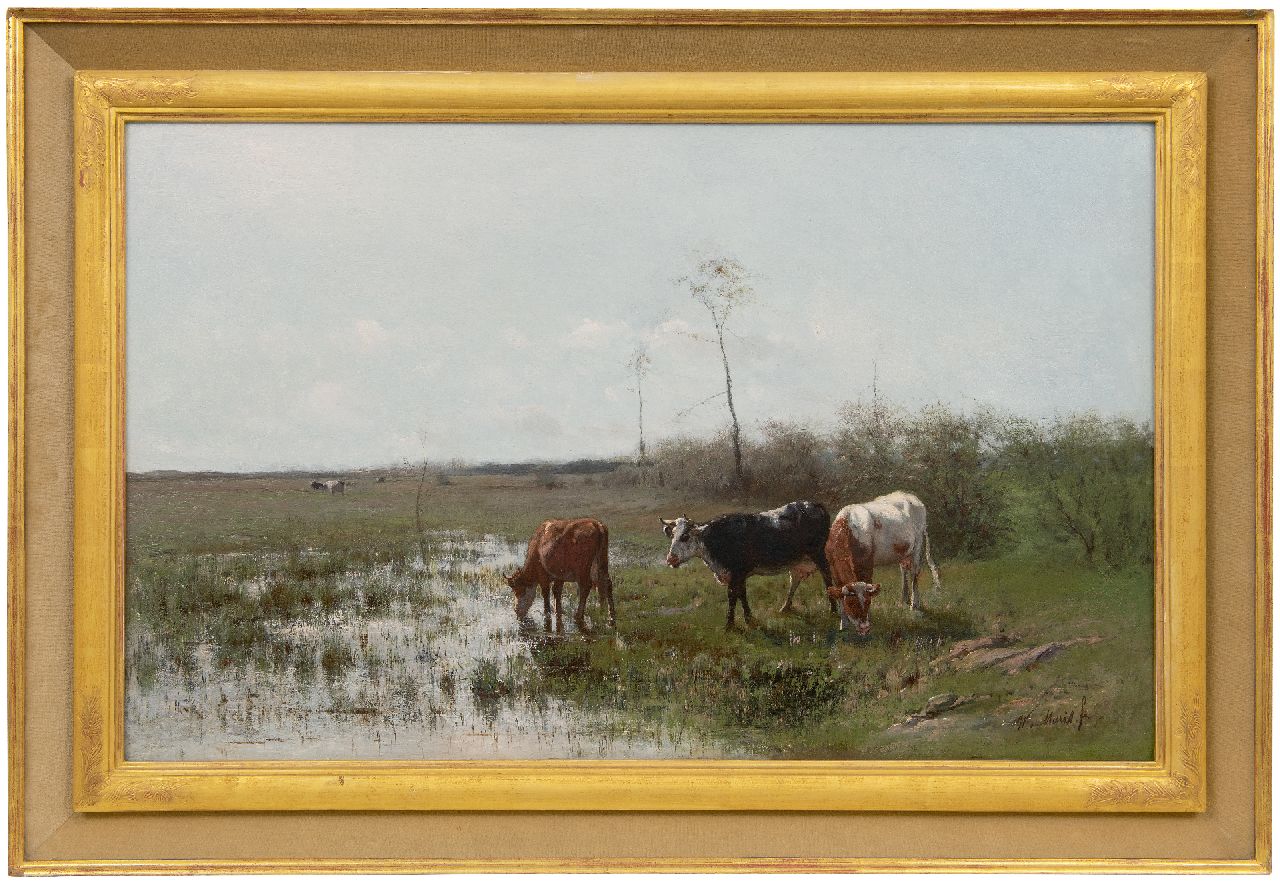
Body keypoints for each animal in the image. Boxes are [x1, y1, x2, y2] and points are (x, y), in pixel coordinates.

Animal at [660, 501, 839, 627]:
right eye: (672, 535)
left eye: (685, 536)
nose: (670, 559)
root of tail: (813, 504)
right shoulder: (739, 574)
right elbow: (742, 594)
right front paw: (748, 618)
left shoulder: (736, 572)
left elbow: (732, 595)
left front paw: (729, 624)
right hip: (798, 560)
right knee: (794, 580)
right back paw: (785, 607)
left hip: (818, 554)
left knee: (827, 577)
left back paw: (833, 610)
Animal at [783, 491, 936, 629]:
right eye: (851, 603)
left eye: (867, 602)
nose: (863, 626)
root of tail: (908, 495)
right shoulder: (833, 567)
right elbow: (839, 591)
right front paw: (843, 624)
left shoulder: (865, 564)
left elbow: (867, 585)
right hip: (903, 552)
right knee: (904, 571)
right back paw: (903, 601)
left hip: (917, 546)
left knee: (914, 574)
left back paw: (914, 605)